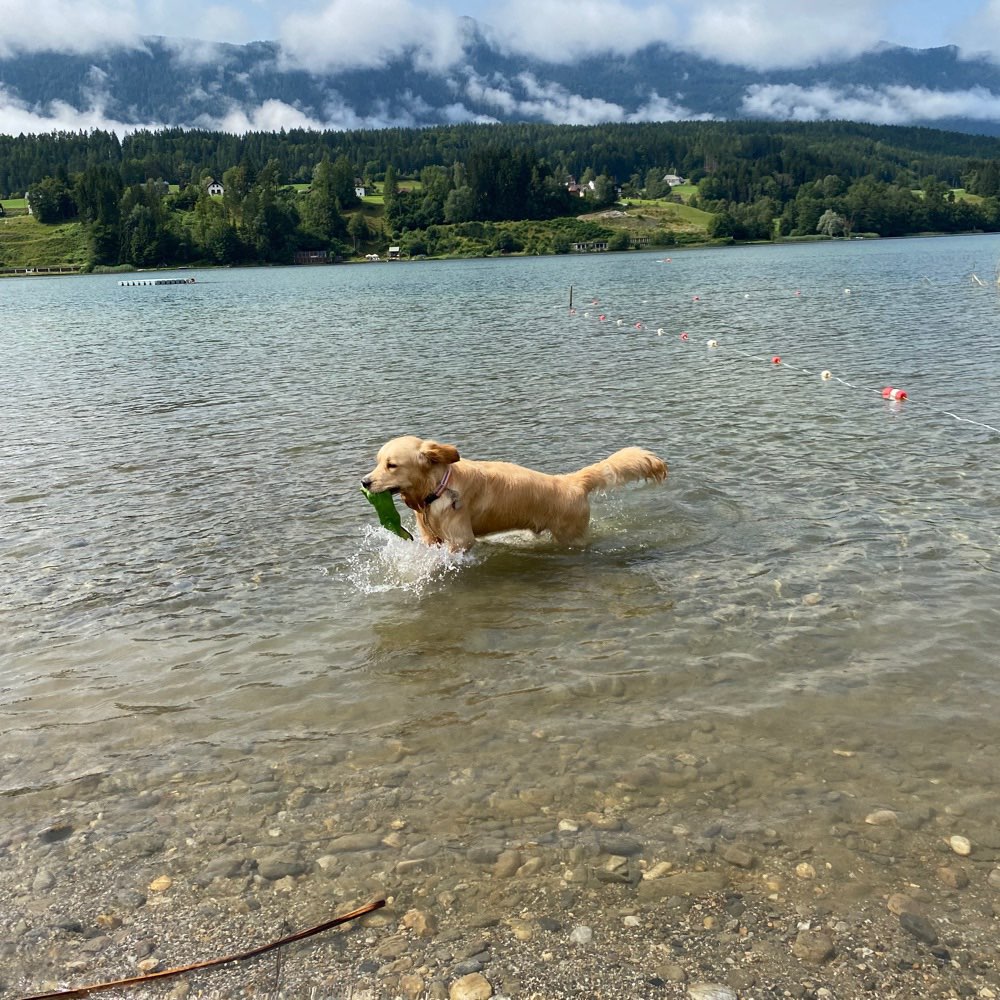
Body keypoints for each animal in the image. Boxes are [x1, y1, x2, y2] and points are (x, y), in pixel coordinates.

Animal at [364, 434, 668, 552]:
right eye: (377, 462)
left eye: (391, 465)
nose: (365, 482)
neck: (437, 488)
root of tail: (571, 482)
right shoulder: (430, 537)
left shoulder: (461, 540)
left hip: (571, 536)